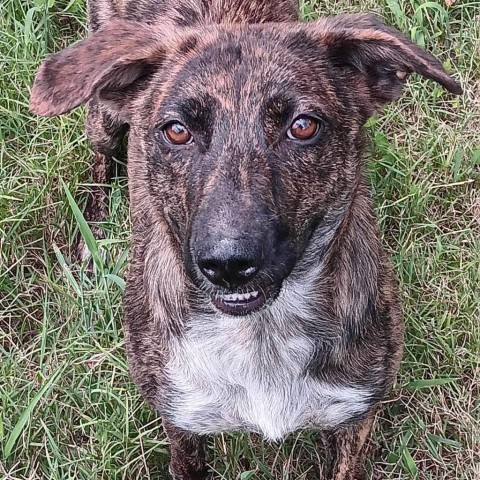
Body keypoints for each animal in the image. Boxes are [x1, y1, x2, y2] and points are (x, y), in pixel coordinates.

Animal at [29, 1, 462, 478]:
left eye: (303, 126)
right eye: (176, 130)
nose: (228, 264)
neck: (260, 332)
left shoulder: (354, 417)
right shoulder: (182, 423)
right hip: (100, 116)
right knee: (101, 157)